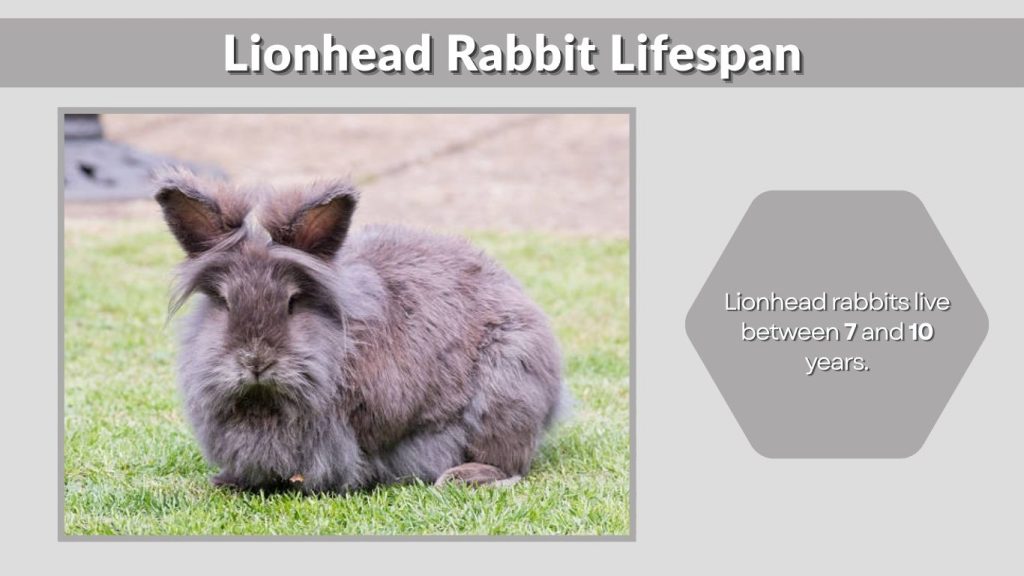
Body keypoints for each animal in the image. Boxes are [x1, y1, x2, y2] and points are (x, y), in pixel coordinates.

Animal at [155, 168, 567, 493]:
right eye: (224, 302)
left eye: (292, 302)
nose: (256, 361)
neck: (264, 402)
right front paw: (227, 480)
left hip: (507, 395)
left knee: (510, 463)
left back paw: (461, 476)